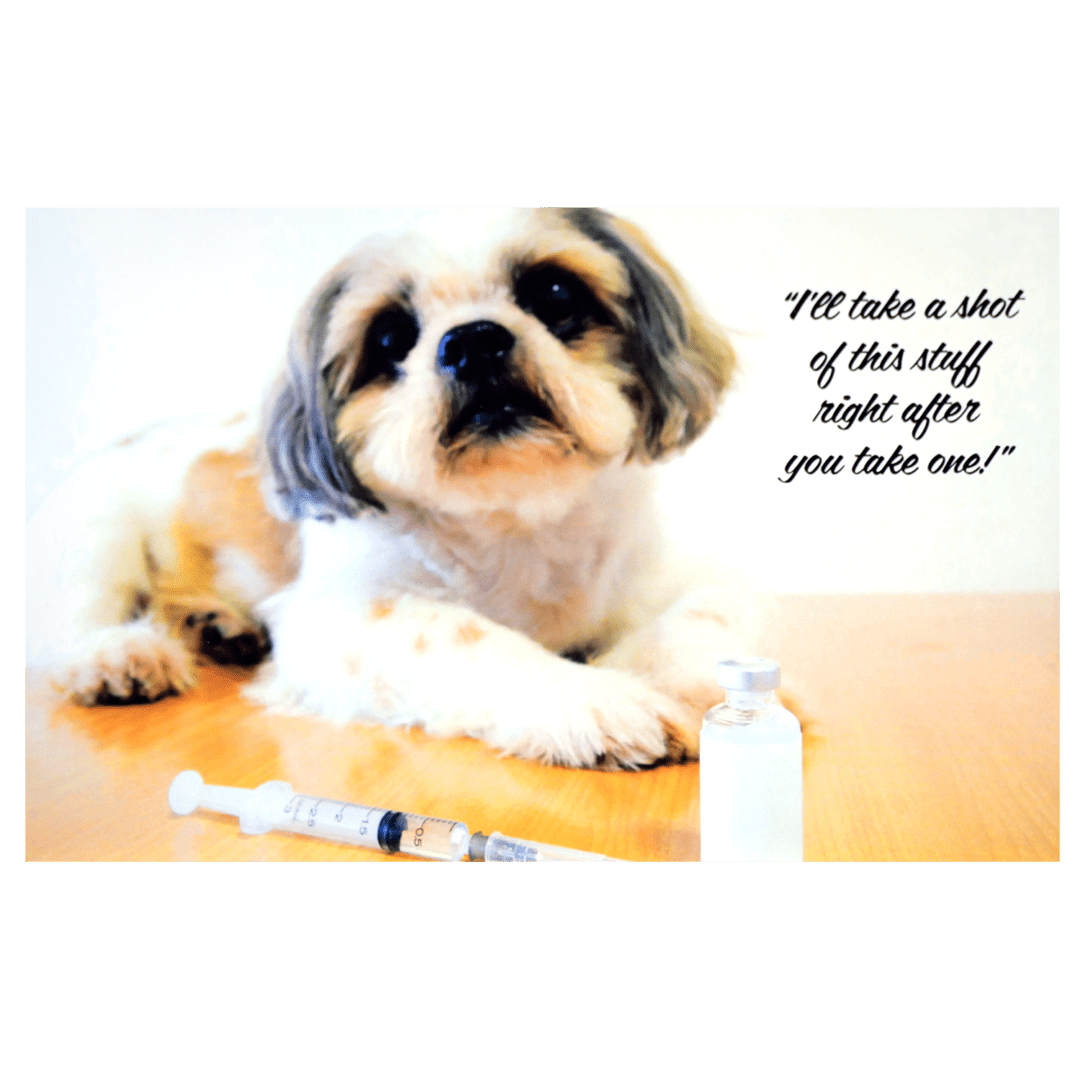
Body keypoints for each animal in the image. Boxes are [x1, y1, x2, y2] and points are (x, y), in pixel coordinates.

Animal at [27, 208, 751, 768]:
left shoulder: (672, 576)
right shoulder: (340, 618)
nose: (474, 340)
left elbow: (707, 613)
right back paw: (118, 656)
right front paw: (596, 699)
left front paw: (675, 680)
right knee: (78, 620)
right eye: (390, 336)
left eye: (553, 293)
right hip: (96, 530)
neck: (514, 520)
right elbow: (464, 636)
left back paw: (216, 627)